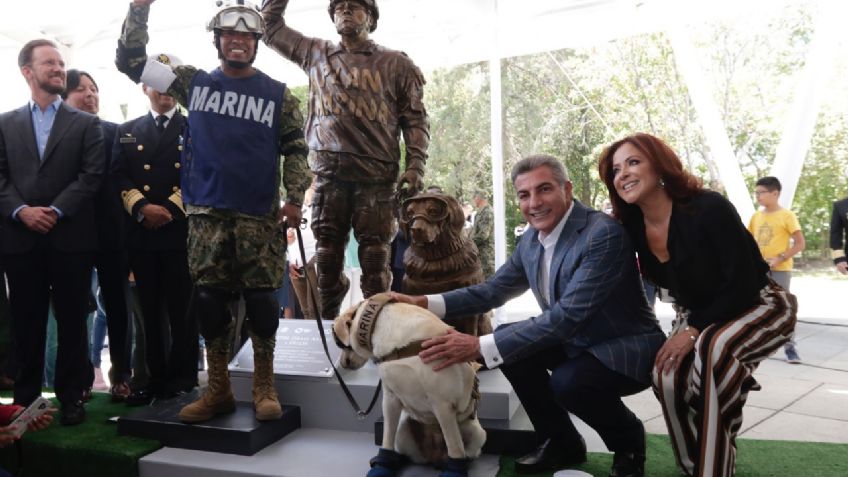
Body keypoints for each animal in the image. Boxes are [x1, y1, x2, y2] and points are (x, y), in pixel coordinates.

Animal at [334, 294, 486, 476]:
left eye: (339, 343)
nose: (343, 364)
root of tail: (433, 456)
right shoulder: (390, 398)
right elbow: (387, 438)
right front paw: (383, 464)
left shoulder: (443, 405)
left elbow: (455, 448)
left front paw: (454, 470)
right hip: (404, 427)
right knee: (404, 451)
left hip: (477, 432)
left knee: (464, 451)